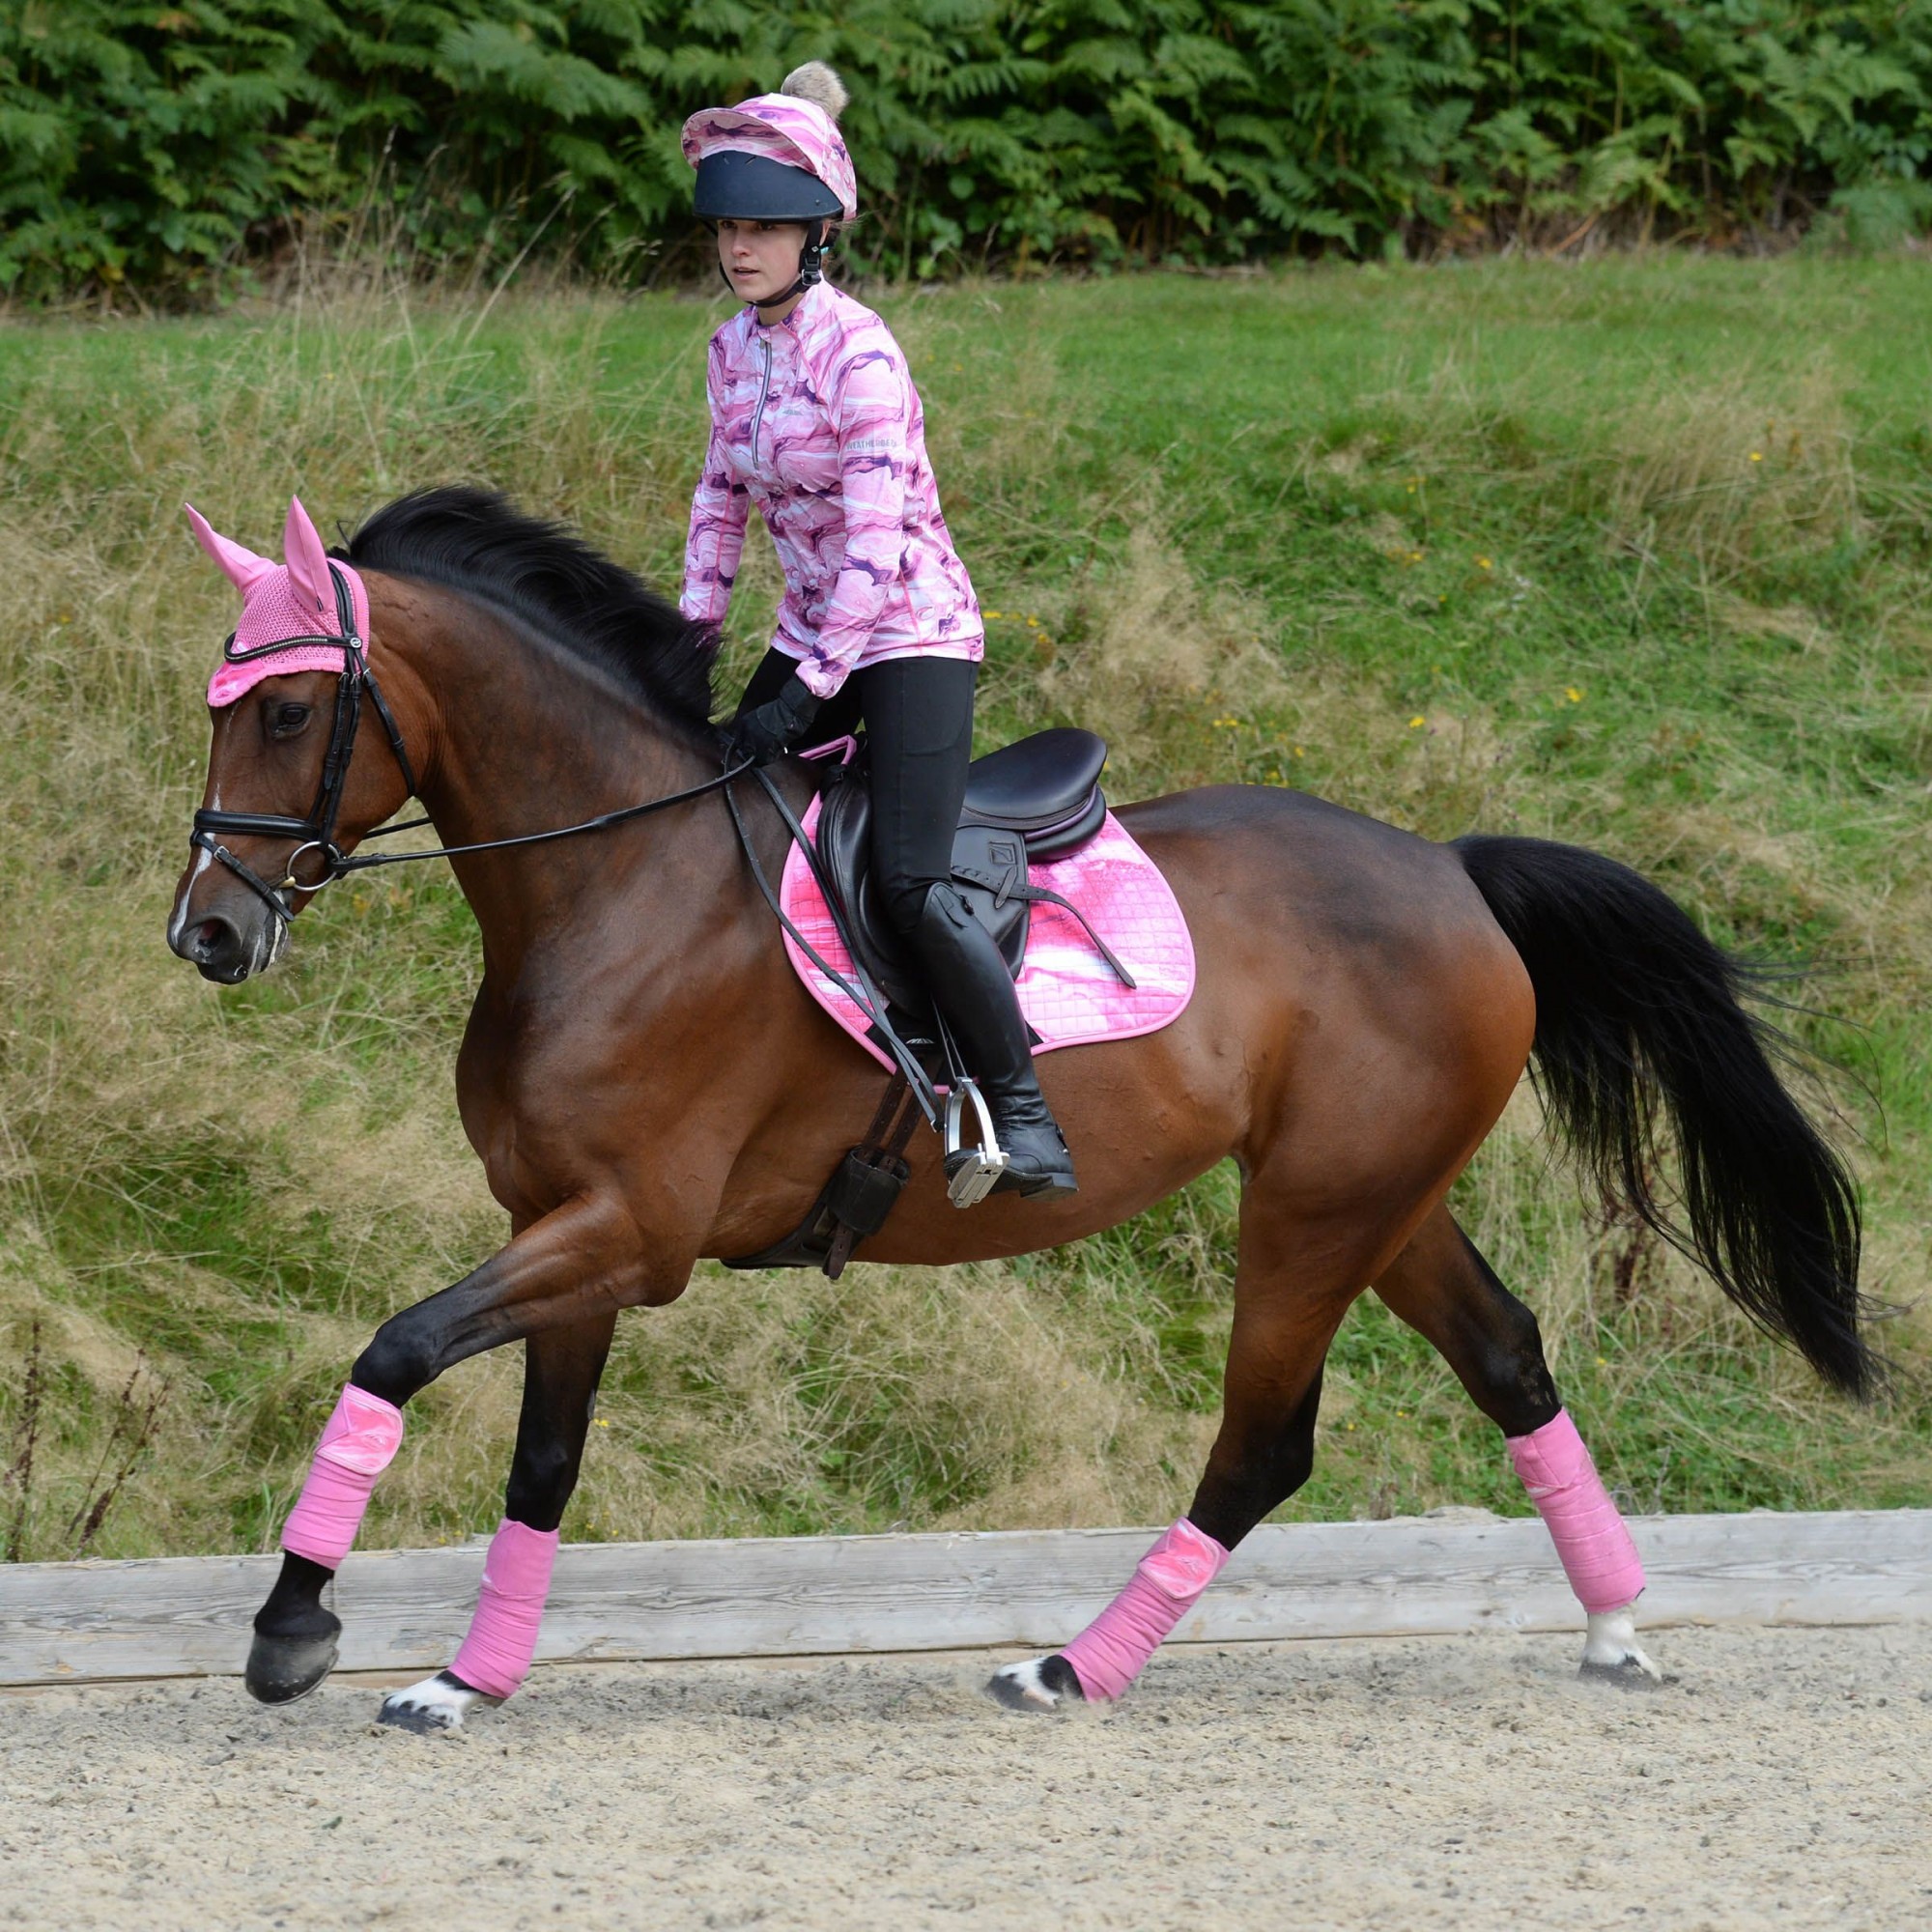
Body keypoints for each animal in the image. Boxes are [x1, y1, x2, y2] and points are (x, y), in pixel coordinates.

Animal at [170, 491, 1870, 1731]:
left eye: (292, 712)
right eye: (218, 707)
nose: (209, 933)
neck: (615, 884)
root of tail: (1451, 870)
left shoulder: (627, 1235)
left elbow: (392, 1351)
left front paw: (292, 1627)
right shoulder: (563, 1235)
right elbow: (540, 1463)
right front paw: (466, 1679)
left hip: (1314, 1213)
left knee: (1267, 1444)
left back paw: (1071, 1666)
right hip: (1386, 1200)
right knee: (1510, 1360)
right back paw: (1619, 1623)